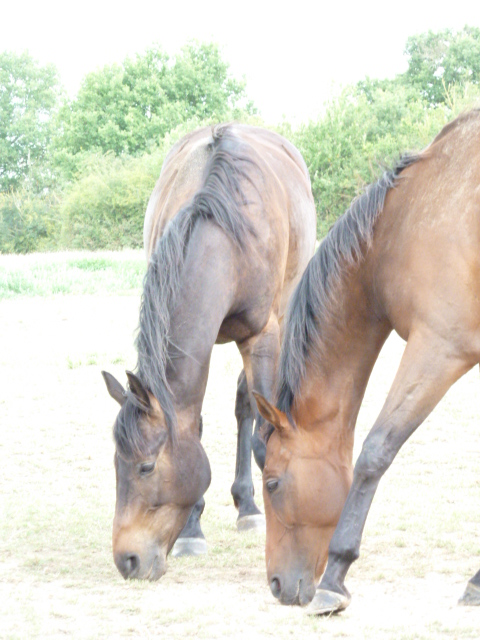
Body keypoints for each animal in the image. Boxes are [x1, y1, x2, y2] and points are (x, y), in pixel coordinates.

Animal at [101, 124, 316, 580]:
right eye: (115, 464)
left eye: (146, 466)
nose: (128, 561)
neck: (221, 228)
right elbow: (194, 426)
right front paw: (191, 530)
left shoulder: (262, 336)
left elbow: (266, 440)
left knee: (249, 406)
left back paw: (249, 506)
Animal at [255, 110, 480, 608]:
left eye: (273, 483)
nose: (277, 585)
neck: (400, 228)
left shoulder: (438, 349)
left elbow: (376, 449)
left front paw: (335, 576)